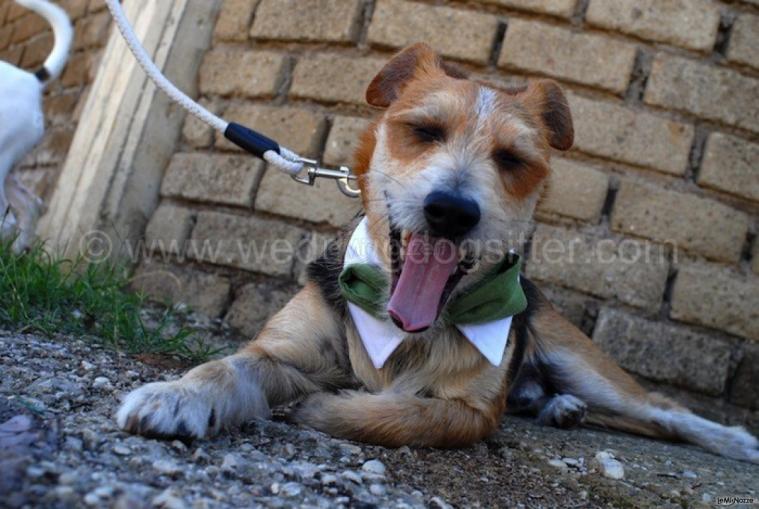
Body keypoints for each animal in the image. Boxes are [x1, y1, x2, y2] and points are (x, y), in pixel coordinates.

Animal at [117, 43, 759, 462]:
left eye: (512, 159)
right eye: (423, 131)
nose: (451, 210)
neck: (406, 325)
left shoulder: (472, 412)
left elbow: (407, 413)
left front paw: (327, 407)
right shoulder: (283, 350)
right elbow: (230, 365)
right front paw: (179, 395)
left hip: (584, 362)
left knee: (662, 412)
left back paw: (734, 441)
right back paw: (559, 408)